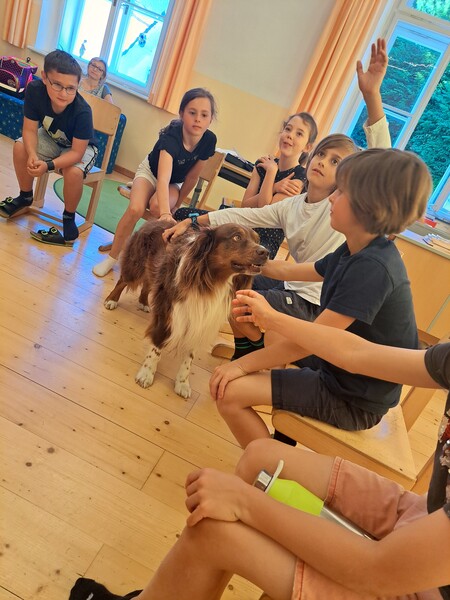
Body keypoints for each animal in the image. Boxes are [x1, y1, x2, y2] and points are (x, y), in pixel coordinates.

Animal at [104, 221, 269, 398]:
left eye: (257, 239)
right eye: (236, 237)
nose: (266, 252)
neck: (213, 281)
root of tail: (157, 220)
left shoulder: (201, 320)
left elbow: (189, 356)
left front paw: (182, 382)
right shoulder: (168, 312)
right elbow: (157, 345)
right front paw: (147, 373)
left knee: (148, 283)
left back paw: (143, 302)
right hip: (137, 264)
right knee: (123, 280)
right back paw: (111, 300)